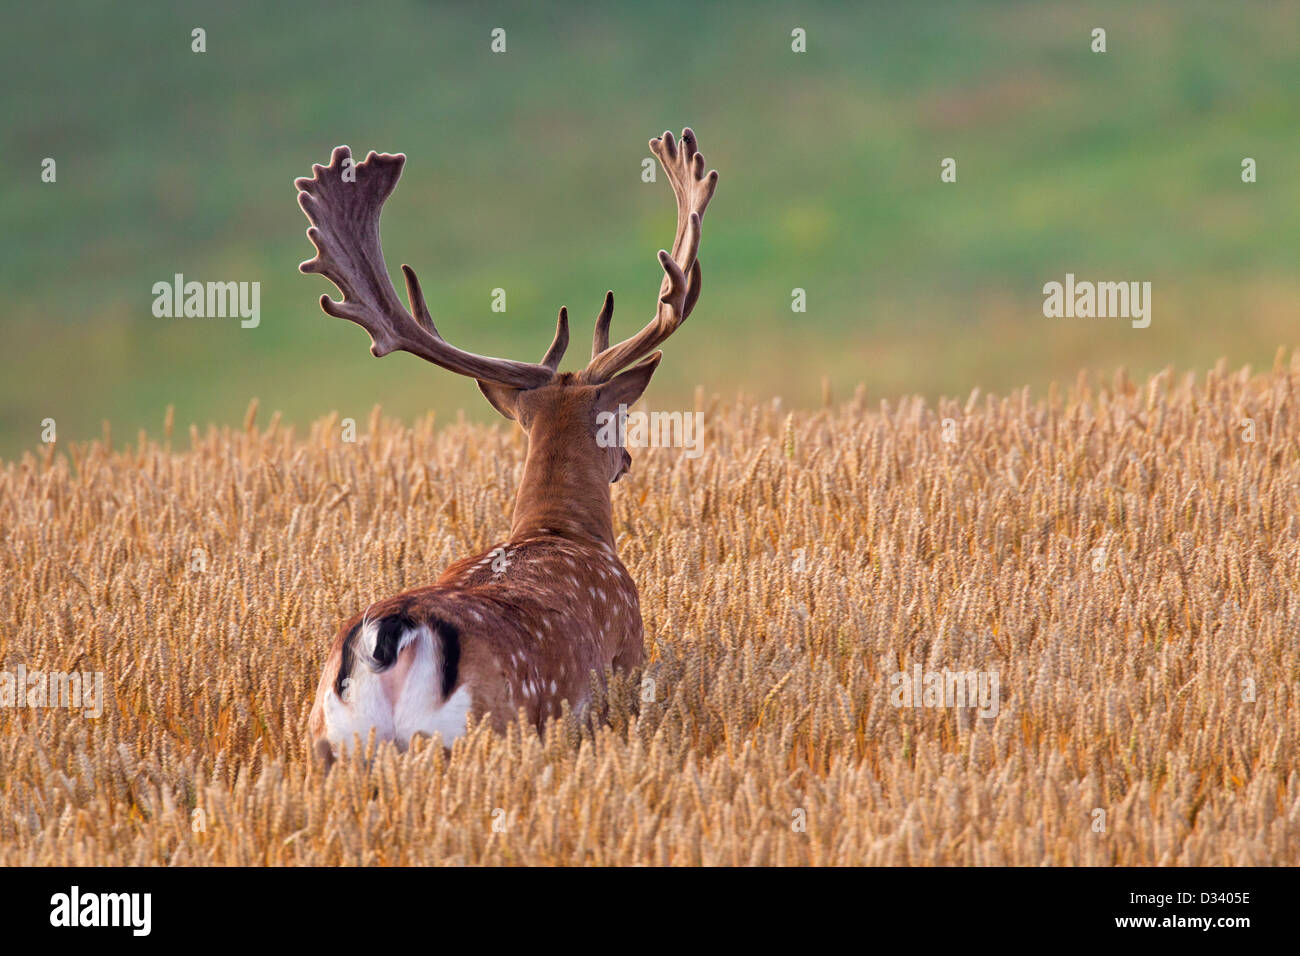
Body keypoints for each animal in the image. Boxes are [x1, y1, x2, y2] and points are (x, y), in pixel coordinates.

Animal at [295, 130, 717, 764]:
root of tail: (389, 637)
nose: (626, 461)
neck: (559, 530)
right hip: (483, 726)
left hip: (327, 741)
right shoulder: (627, 660)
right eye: (619, 417)